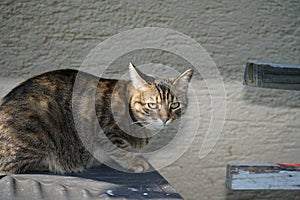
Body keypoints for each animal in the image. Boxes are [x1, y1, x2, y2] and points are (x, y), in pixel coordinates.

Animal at [0, 63, 192, 173]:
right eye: (152, 105)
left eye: (174, 105)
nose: (165, 119)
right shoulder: (105, 131)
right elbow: (120, 149)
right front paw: (134, 161)